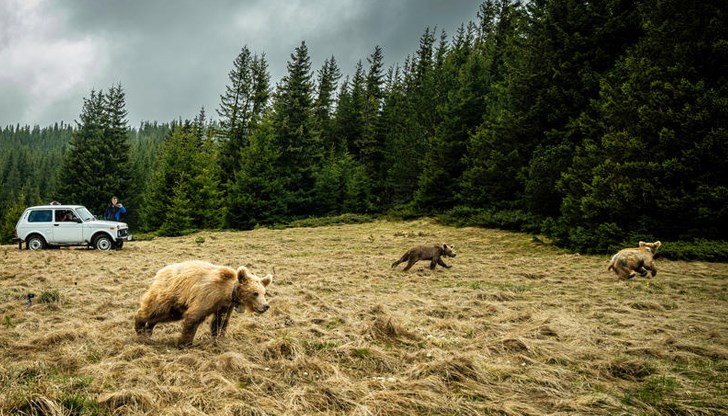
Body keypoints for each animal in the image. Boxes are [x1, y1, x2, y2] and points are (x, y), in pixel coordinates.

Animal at [134, 260, 272, 348]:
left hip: (175, 306)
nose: (266, 306)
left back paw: (148, 330)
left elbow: (220, 321)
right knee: (153, 310)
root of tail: (161, 272)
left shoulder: (224, 306)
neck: (227, 293)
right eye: (255, 293)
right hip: (169, 295)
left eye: (264, 293)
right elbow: (194, 316)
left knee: (161, 316)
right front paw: (185, 343)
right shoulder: (207, 295)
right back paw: (139, 328)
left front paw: (218, 338)